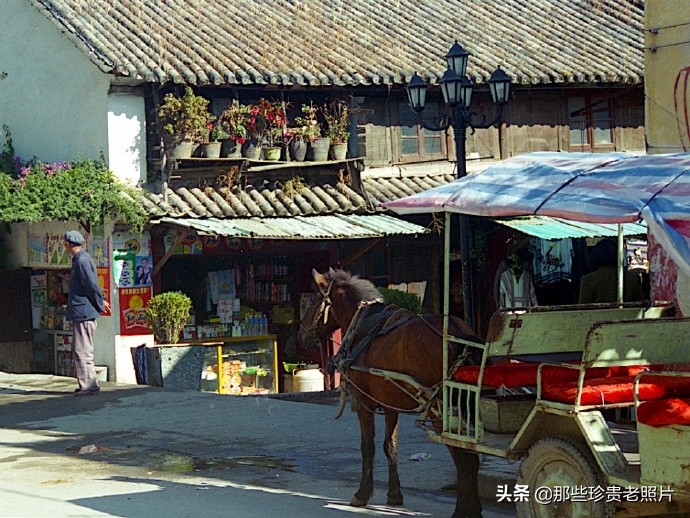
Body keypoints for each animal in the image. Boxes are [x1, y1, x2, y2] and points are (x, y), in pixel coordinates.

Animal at [296, 270, 484, 516]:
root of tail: (460, 334)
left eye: (313, 299)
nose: (301, 337)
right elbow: (390, 446)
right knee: (471, 454)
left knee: (463, 456)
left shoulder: (363, 401)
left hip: (440, 407)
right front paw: (394, 494)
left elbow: (368, 447)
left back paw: (463, 510)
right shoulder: (390, 403)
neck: (362, 325)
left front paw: (362, 494)